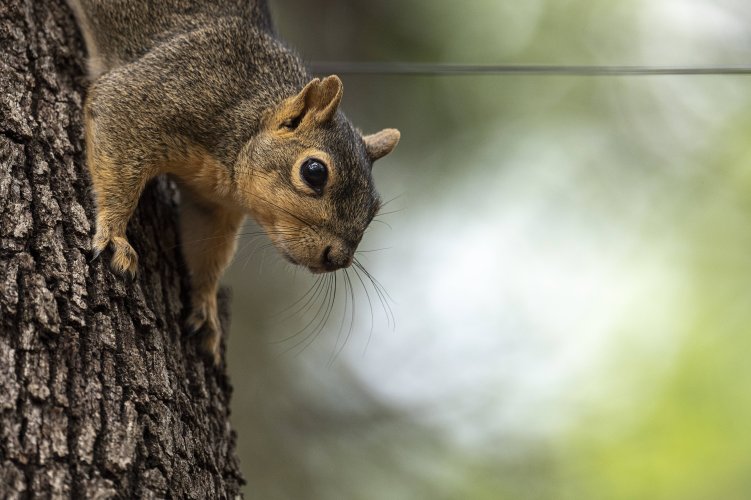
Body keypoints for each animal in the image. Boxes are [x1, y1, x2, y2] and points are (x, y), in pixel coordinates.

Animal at [67, 0, 402, 362]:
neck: (248, 115)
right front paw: (115, 234)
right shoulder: (154, 96)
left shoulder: (213, 206)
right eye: (314, 172)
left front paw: (205, 305)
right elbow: (116, 121)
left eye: (374, 208)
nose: (337, 259)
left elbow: (207, 249)